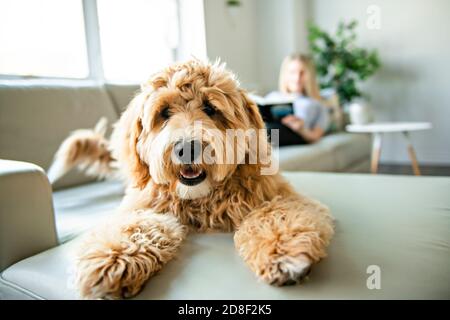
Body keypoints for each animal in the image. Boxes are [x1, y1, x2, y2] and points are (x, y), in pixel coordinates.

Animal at [48, 58, 334, 298]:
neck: (201, 200)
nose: (187, 148)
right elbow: (135, 226)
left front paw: (283, 251)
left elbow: (276, 214)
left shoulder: (279, 196)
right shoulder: (143, 207)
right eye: (164, 112)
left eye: (210, 108)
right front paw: (112, 260)